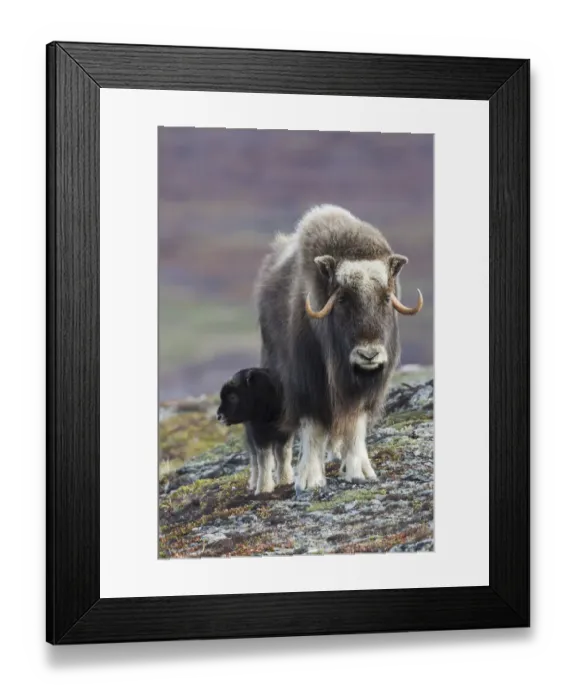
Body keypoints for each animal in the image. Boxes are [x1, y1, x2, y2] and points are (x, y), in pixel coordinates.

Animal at [256, 205, 423, 491]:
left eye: (385, 298)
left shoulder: (361, 392)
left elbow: (355, 426)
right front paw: (309, 480)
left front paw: (359, 472)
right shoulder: (308, 384)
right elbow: (313, 429)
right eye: (343, 298)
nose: (369, 355)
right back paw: (285, 477)